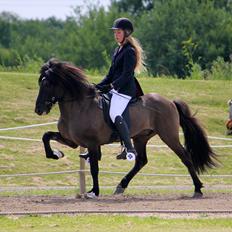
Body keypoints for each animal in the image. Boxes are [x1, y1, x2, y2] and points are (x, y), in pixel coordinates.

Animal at [34, 59, 218, 198]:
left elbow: (94, 168)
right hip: (140, 137)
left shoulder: (92, 144)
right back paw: (121, 186)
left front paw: (94, 192)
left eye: (47, 84)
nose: (38, 109)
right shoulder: (71, 141)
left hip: (168, 135)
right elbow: (46, 136)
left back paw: (198, 189)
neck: (79, 106)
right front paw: (56, 154)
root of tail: (170, 102)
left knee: (185, 157)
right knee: (141, 161)